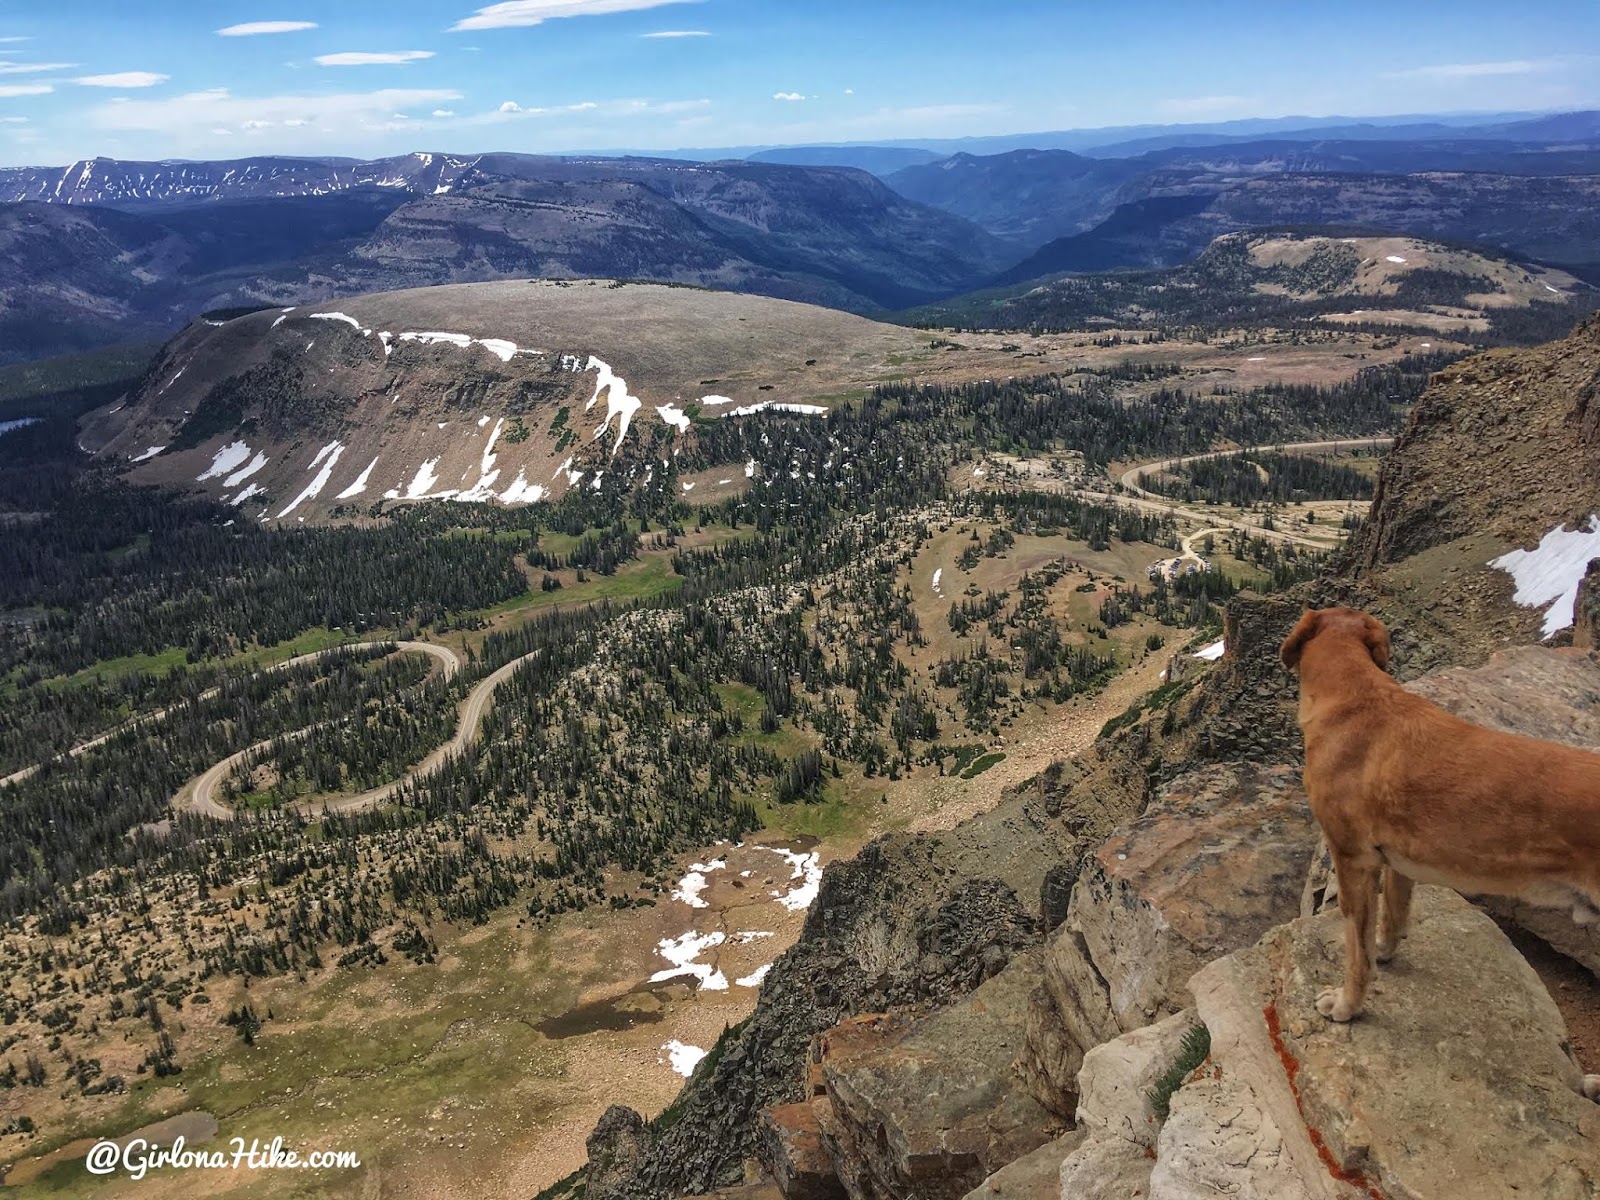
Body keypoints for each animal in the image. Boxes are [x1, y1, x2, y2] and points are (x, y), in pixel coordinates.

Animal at [1280, 611, 1600, 1100]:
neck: (1354, 692)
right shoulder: (1397, 861)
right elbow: (1393, 914)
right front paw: (1386, 949)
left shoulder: (1352, 858)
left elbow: (1356, 954)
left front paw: (1347, 1005)